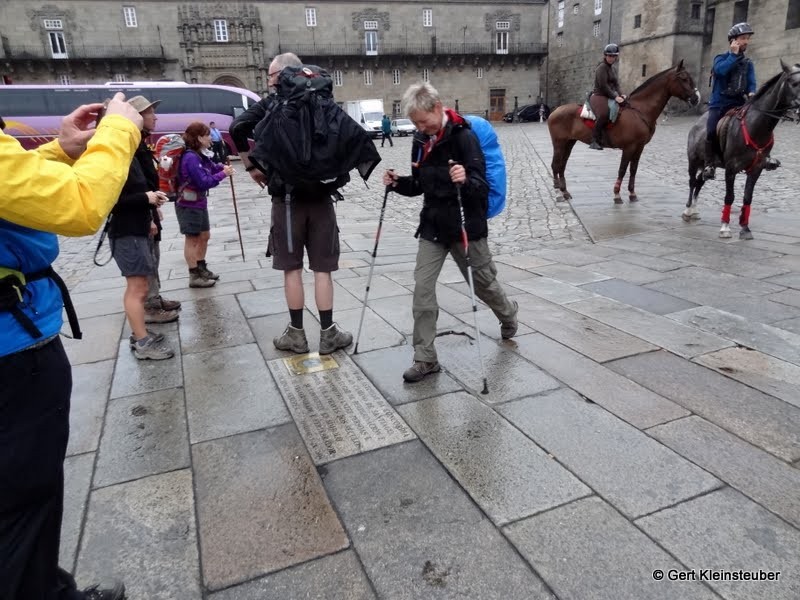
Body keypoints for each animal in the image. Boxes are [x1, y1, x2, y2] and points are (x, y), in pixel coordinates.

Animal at [548, 60, 696, 204]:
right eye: (684, 78)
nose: (696, 97)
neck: (640, 110)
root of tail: (555, 111)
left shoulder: (639, 147)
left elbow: (633, 169)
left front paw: (632, 193)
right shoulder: (629, 147)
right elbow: (622, 169)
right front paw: (617, 194)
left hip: (569, 142)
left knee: (562, 165)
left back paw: (565, 192)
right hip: (559, 143)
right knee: (555, 165)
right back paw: (558, 193)